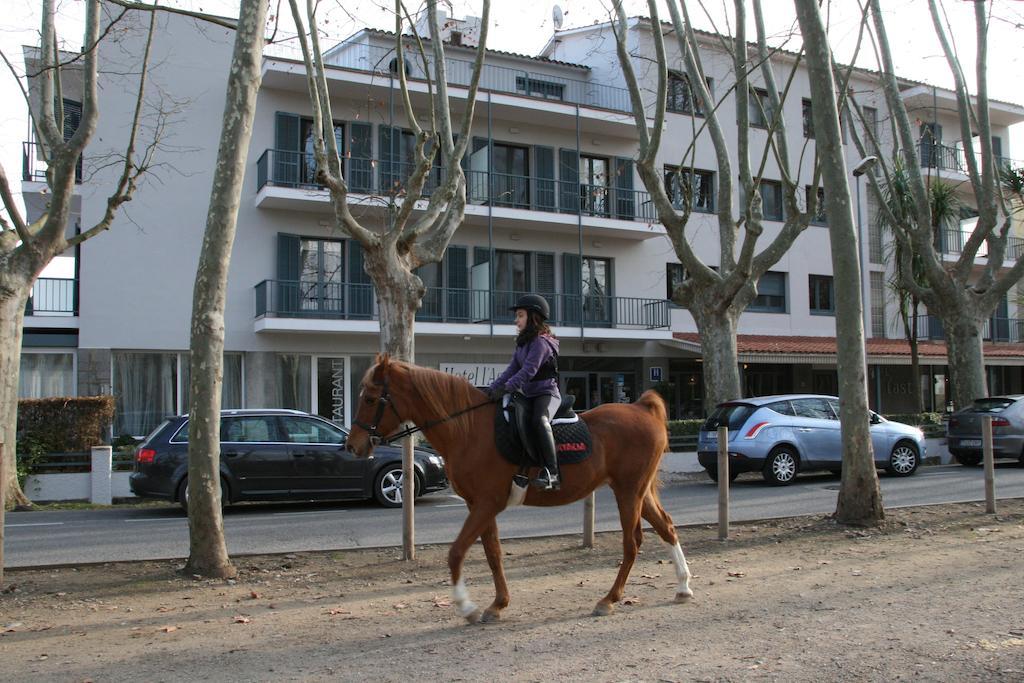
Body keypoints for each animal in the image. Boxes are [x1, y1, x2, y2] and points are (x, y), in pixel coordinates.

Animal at [348, 356, 692, 622]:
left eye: (370, 399)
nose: (353, 446)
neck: (470, 430)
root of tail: (643, 408)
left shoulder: (487, 503)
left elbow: (456, 551)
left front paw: (467, 607)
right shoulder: (479, 505)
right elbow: (493, 553)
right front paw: (497, 605)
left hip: (628, 492)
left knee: (632, 544)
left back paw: (609, 600)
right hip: (638, 492)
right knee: (667, 528)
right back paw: (683, 587)